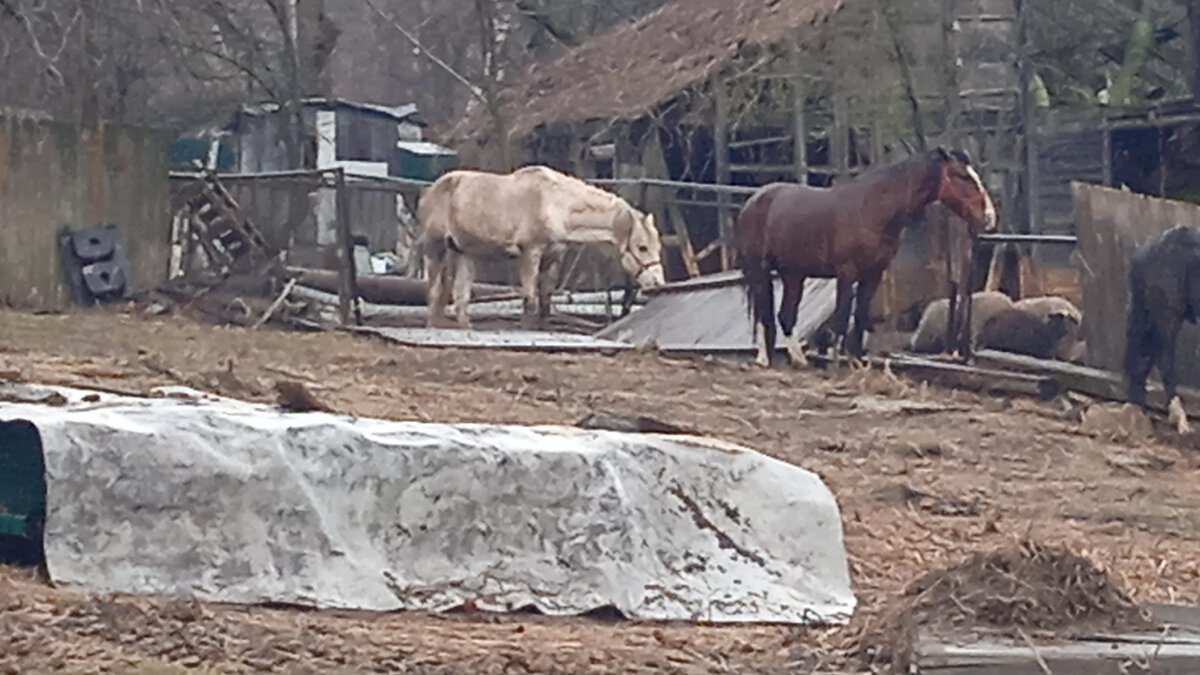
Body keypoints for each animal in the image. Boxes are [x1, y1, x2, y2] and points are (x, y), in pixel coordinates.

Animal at [417, 165, 667, 329]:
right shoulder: (531, 253)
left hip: (463, 253)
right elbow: (530, 298)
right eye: (642, 247)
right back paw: (433, 324)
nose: (658, 283)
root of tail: (429, 190)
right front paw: (526, 328)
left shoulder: (553, 256)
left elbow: (545, 299)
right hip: (435, 248)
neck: (556, 203)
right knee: (434, 290)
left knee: (460, 296)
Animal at [734, 148, 998, 367]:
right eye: (963, 177)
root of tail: (754, 200)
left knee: (785, 316)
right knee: (764, 313)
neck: (874, 209)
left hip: (793, 274)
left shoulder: (873, 273)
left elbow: (860, 315)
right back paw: (764, 358)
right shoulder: (846, 273)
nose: (989, 217)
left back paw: (798, 359)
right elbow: (842, 318)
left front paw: (857, 361)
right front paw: (836, 363)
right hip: (760, 270)